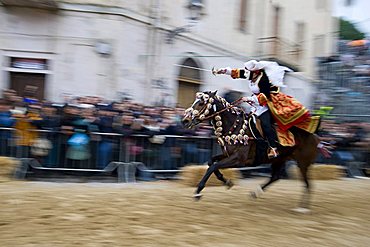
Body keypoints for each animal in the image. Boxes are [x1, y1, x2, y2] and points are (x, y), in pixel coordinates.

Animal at [181, 90, 320, 210]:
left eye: (201, 103)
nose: (185, 120)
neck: (234, 126)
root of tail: (315, 137)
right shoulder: (227, 154)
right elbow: (211, 162)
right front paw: (227, 182)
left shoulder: (238, 159)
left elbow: (213, 167)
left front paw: (198, 191)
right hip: (280, 159)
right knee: (275, 177)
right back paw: (256, 192)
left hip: (302, 162)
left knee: (307, 184)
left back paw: (302, 208)